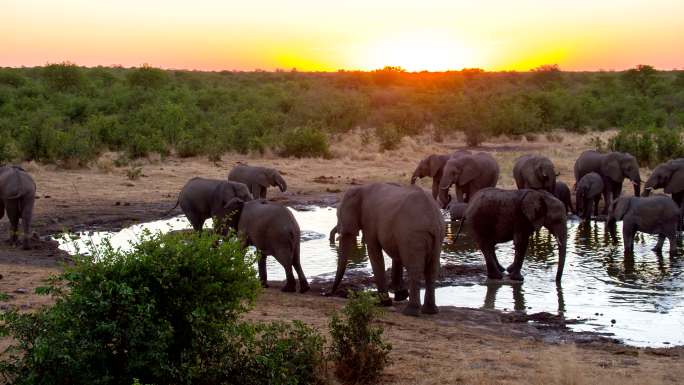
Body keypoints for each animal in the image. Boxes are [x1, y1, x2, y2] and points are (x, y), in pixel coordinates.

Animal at [326, 183, 444, 316]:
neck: (361, 189)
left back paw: (411, 312)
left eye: (339, 216)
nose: (328, 293)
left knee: (415, 268)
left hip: (413, 234)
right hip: (437, 234)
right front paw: (400, 295)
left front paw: (383, 303)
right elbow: (396, 257)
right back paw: (430, 311)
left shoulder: (369, 219)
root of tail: (432, 218)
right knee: (432, 269)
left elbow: (374, 252)